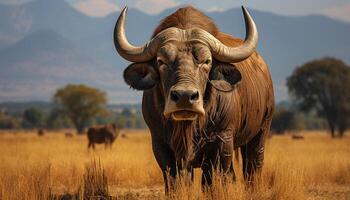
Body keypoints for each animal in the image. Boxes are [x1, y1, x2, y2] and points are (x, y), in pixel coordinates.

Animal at [113, 5, 274, 191]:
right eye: (161, 61)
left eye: (207, 61)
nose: (184, 96)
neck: (188, 127)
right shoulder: (160, 144)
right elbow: (175, 180)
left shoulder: (223, 141)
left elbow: (211, 180)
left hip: (260, 133)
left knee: (252, 168)